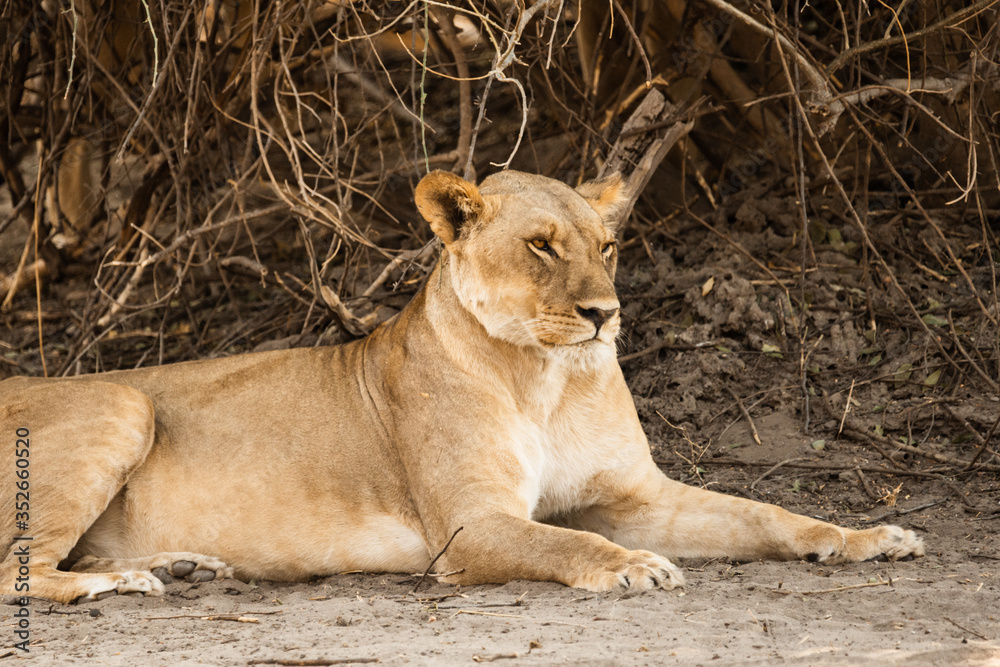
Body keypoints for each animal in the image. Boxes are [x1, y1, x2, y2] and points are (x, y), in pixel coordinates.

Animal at [0, 170, 924, 604]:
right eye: (542, 245)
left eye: (607, 246)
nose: (605, 314)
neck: (546, 374)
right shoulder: (470, 525)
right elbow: (565, 543)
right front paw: (632, 566)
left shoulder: (634, 494)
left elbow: (766, 513)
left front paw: (868, 536)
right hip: (124, 401)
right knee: (21, 567)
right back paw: (118, 582)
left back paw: (180, 563)